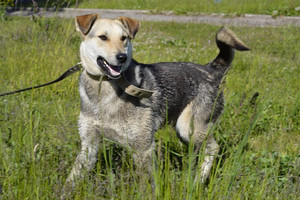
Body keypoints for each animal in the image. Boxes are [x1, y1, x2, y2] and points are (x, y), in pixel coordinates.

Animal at [62, 13, 248, 195]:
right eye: (103, 37)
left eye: (124, 38)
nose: (122, 57)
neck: (105, 87)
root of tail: (211, 69)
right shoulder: (89, 146)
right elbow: (71, 180)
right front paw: (62, 193)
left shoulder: (143, 147)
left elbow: (147, 185)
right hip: (185, 132)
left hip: (187, 127)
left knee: (214, 148)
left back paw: (197, 183)